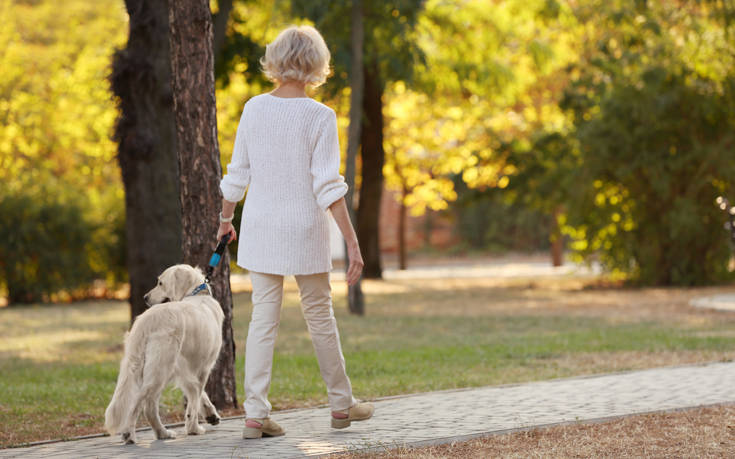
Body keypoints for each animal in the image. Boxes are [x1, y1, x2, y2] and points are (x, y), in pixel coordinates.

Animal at [104, 266, 224, 446]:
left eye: (160, 283)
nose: (145, 297)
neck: (195, 294)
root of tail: (146, 319)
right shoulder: (203, 368)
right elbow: (194, 398)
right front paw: (193, 428)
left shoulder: (184, 369)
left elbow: (196, 392)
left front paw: (210, 414)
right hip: (161, 369)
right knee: (145, 404)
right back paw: (133, 434)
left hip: (144, 364)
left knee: (146, 403)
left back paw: (160, 433)